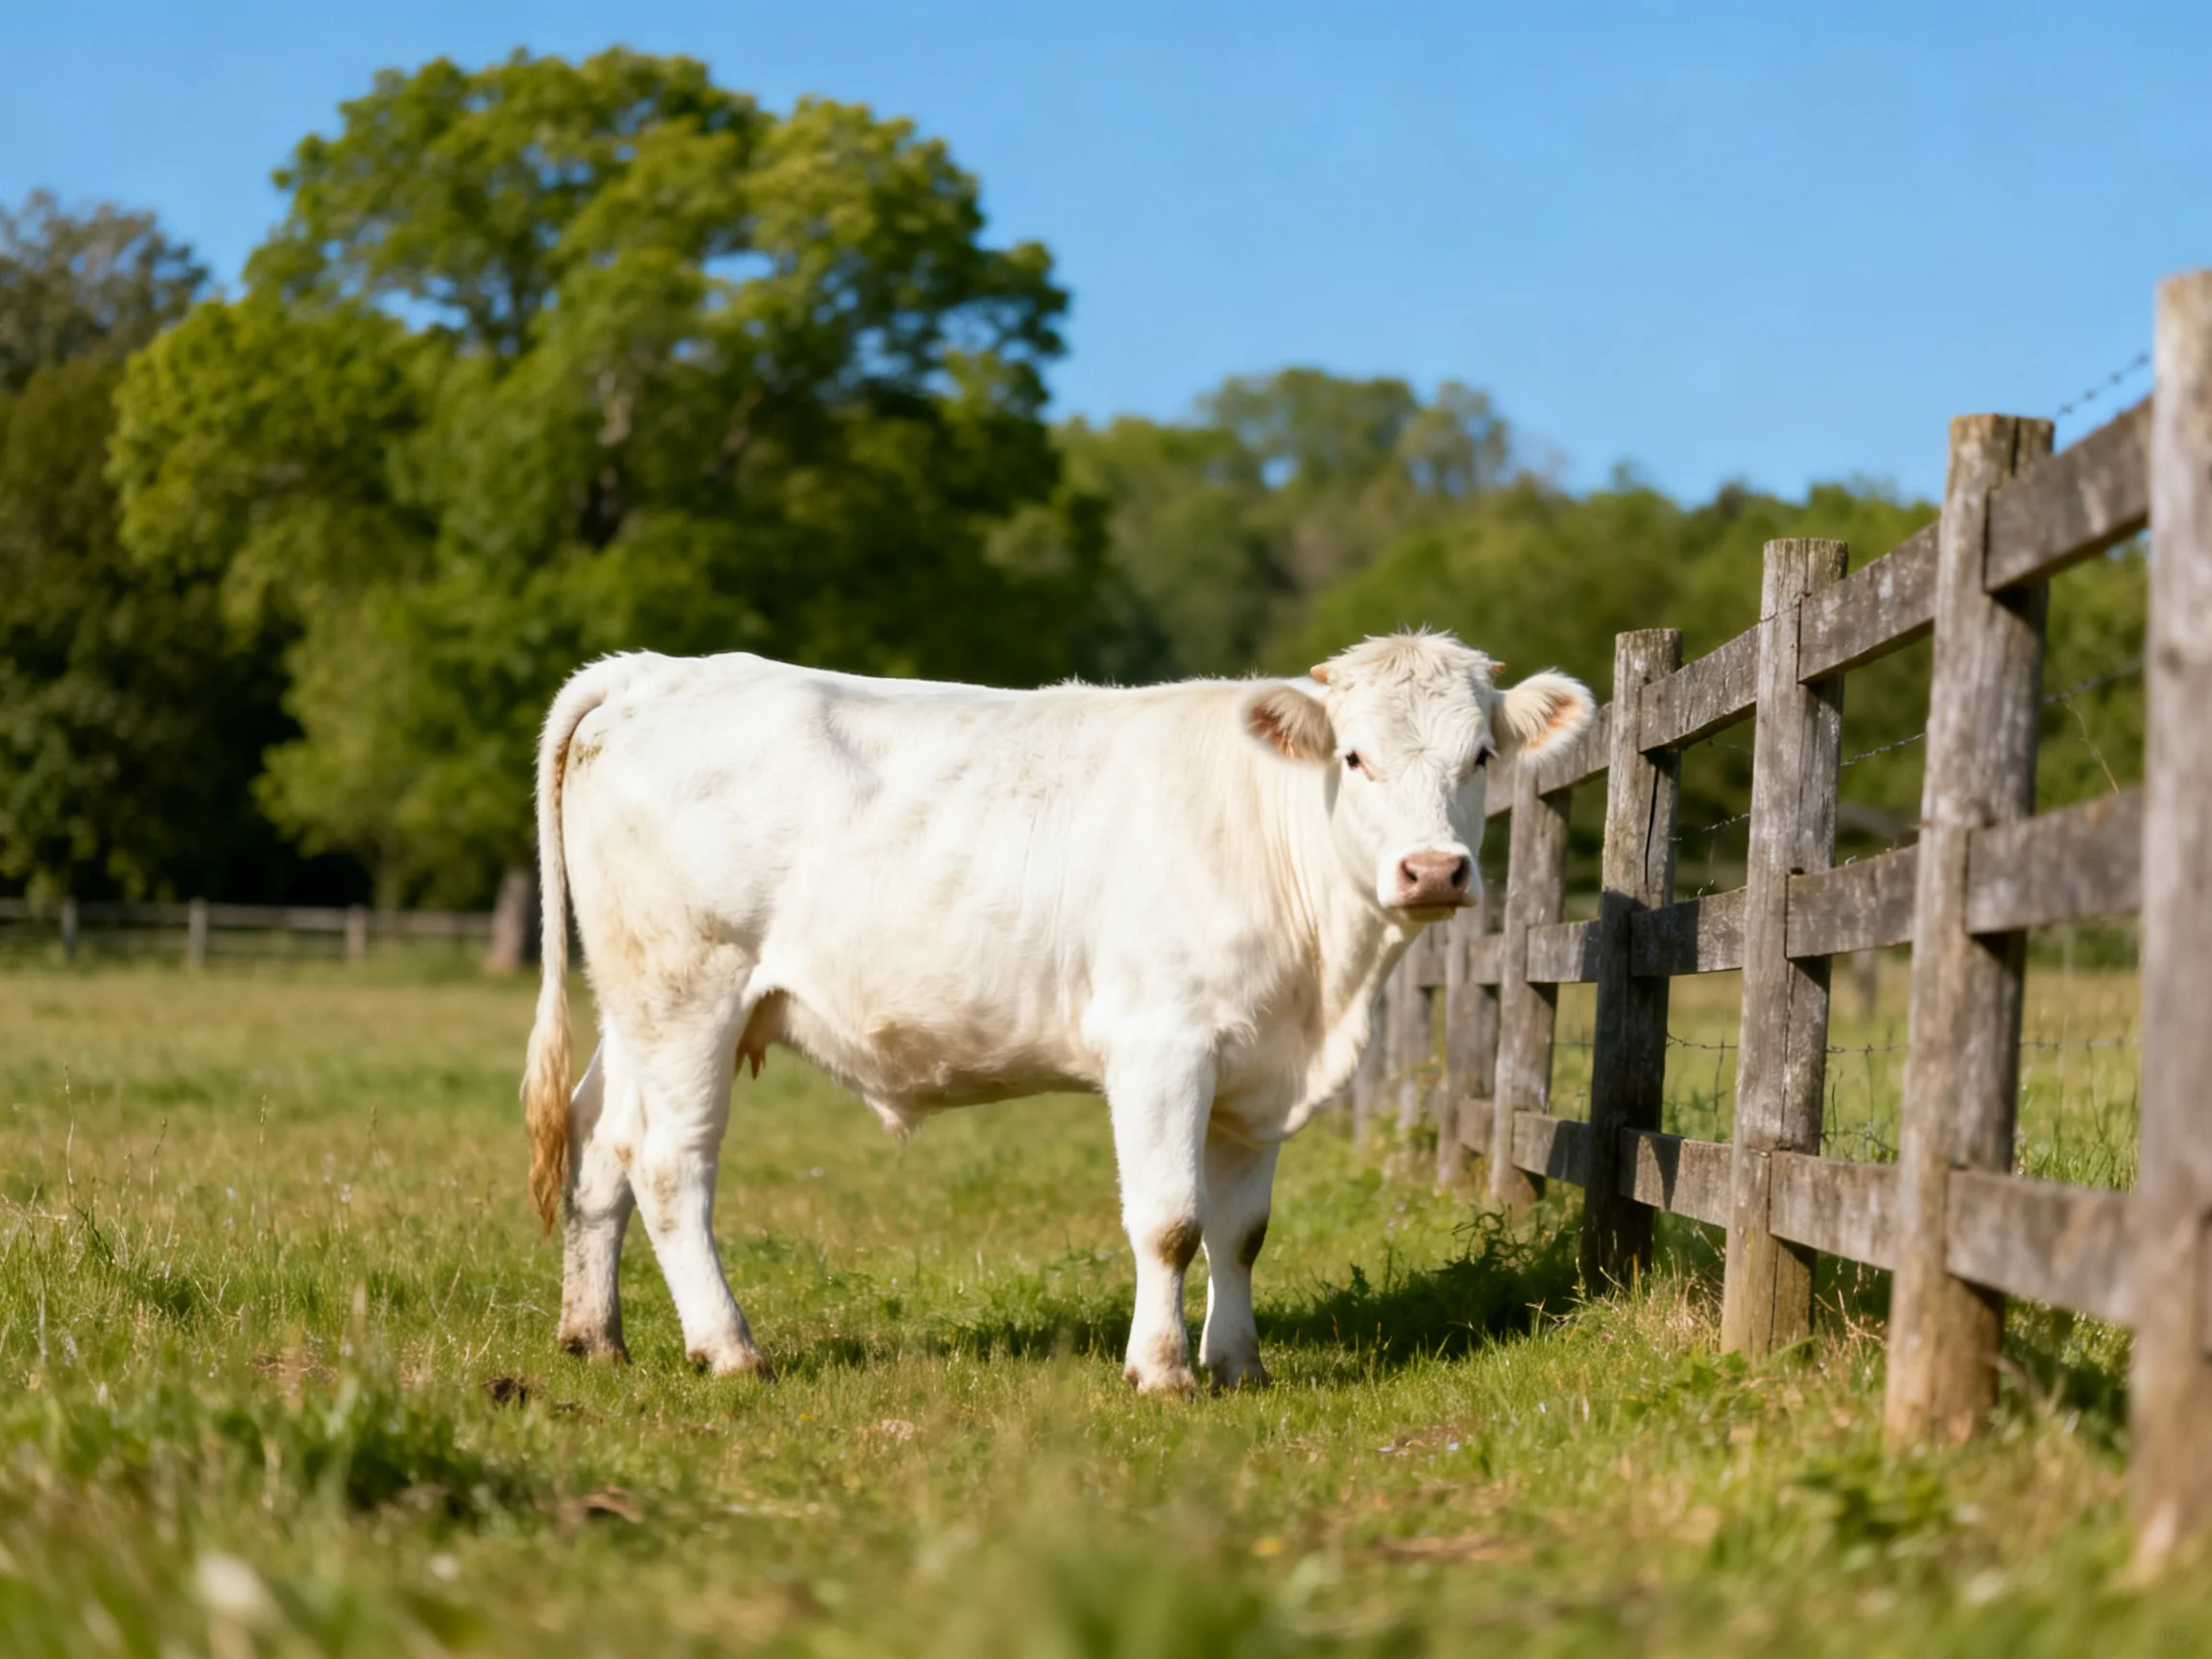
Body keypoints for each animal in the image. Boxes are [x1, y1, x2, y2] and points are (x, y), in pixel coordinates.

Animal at [520, 631, 1593, 1394]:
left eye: (1482, 755)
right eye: (1357, 757)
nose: (1434, 870)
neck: (1324, 984)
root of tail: (651, 673)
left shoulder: (1257, 1071)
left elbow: (1241, 1230)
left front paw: (1239, 1365)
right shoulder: (1162, 1044)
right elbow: (1171, 1221)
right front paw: (1161, 1372)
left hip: (635, 1004)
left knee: (602, 1142)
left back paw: (595, 1337)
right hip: (688, 990)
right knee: (670, 1163)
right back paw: (730, 1349)